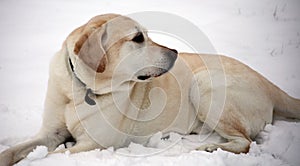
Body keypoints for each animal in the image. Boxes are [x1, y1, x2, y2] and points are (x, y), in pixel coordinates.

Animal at [0, 13, 300, 165]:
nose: (176, 52)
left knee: (245, 141)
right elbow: (16, 150)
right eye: (137, 38)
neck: (78, 87)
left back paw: (209, 148)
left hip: (204, 83)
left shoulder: (92, 144)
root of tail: (269, 84)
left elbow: (42, 158)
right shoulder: (50, 132)